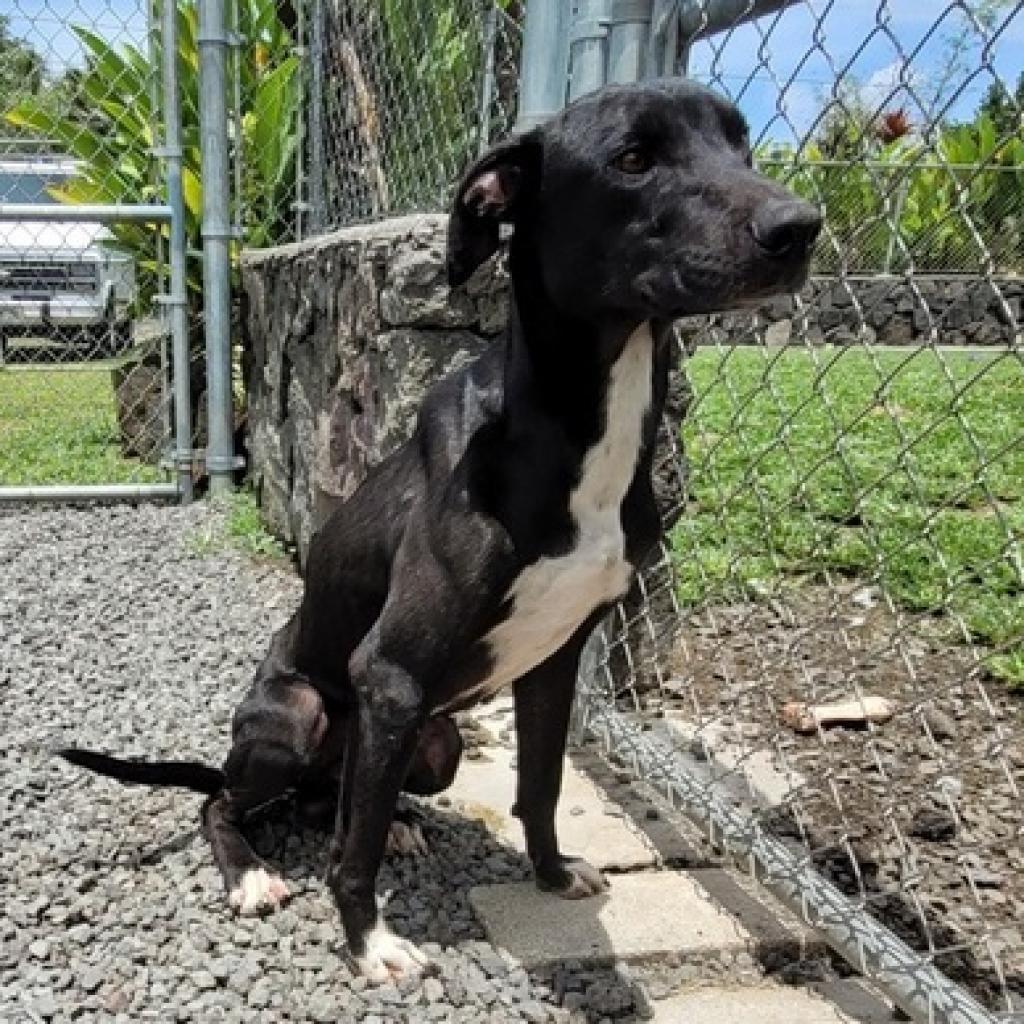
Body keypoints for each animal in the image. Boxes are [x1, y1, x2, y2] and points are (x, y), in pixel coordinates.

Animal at [59, 79, 819, 983]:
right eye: (634, 159)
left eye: (742, 147)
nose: (800, 226)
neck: (573, 430)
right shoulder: (388, 676)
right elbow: (352, 860)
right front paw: (370, 943)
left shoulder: (555, 664)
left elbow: (541, 787)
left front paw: (550, 872)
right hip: (300, 716)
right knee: (228, 802)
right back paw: (250, 874)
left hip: (437, 741)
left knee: (336, 805)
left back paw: (394, 824)